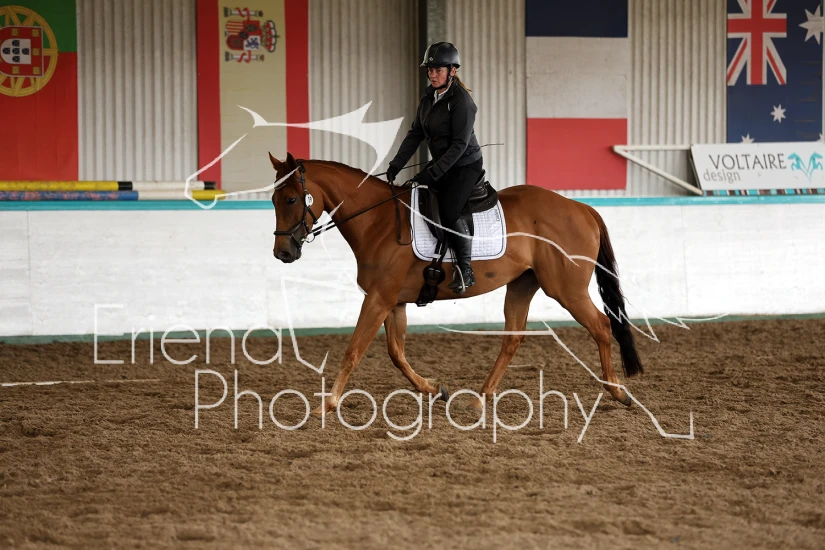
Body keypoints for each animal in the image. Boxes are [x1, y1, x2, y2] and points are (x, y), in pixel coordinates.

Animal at [268, 152, 643, 416]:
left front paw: (327, 404)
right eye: (273, 200)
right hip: (522, 285)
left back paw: (618, 392)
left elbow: (353, 351)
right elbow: (396, 353)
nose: (282, 252)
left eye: (291, 200)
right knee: (513, 338)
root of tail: (580, 207)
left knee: (601, 325)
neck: (378, 221)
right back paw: (479, 399)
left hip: (566, 289)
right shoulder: (393, 301)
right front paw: (435, 389)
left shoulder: (378, 298)